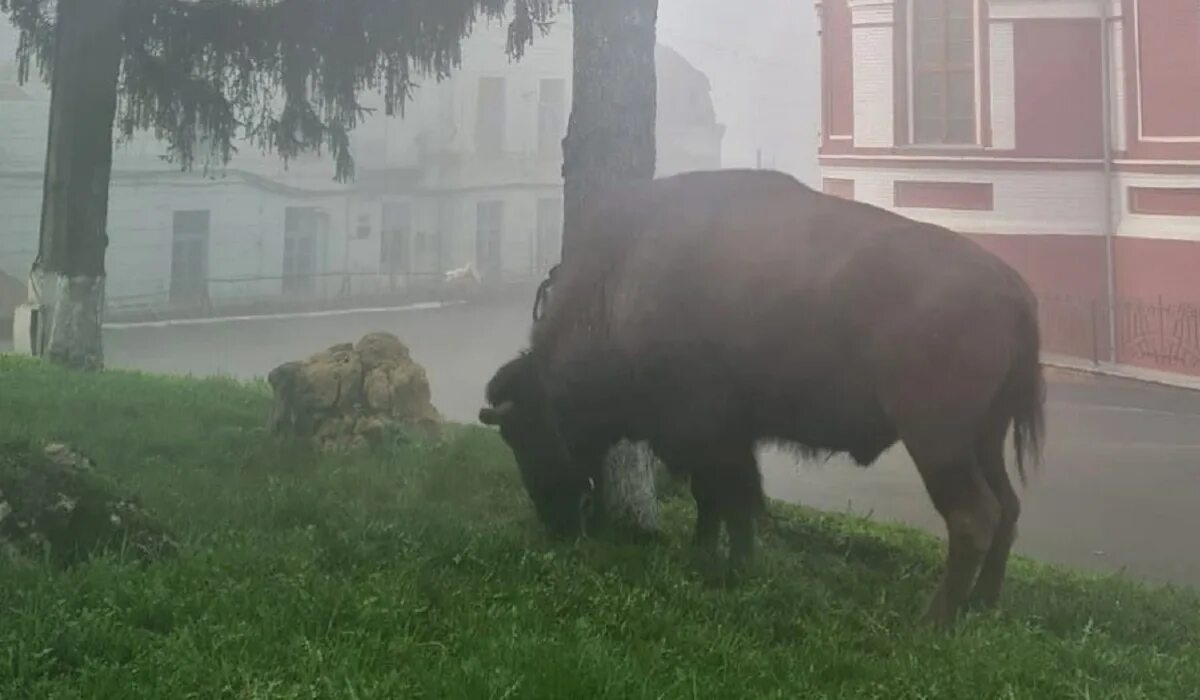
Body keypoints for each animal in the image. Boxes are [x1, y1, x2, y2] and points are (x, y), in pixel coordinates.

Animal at [477, 168, 1041, 624]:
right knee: (1008, 507)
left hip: (938, 442)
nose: (556, 524)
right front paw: (719, 557)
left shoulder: (708, 434)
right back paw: (982, 605)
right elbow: (727, 501)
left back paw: (932, 622)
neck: (623, 288)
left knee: (973, 518)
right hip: (984, 438)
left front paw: (723, 562)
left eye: (524, 435)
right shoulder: (729, 437)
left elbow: (726, 497)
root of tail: (1014, 291)